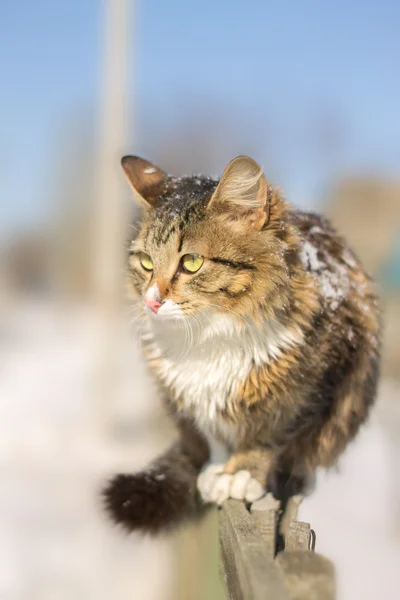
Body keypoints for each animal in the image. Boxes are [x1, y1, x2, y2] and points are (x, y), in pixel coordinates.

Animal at [103, 155, 382, 536]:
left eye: (191, 262)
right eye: (146, 262)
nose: (152, 301)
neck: (208, 336)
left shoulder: (315, 385)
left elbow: (272, 433)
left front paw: (241, 474)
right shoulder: (188, 397)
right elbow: (214, 430)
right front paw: (219, 470)